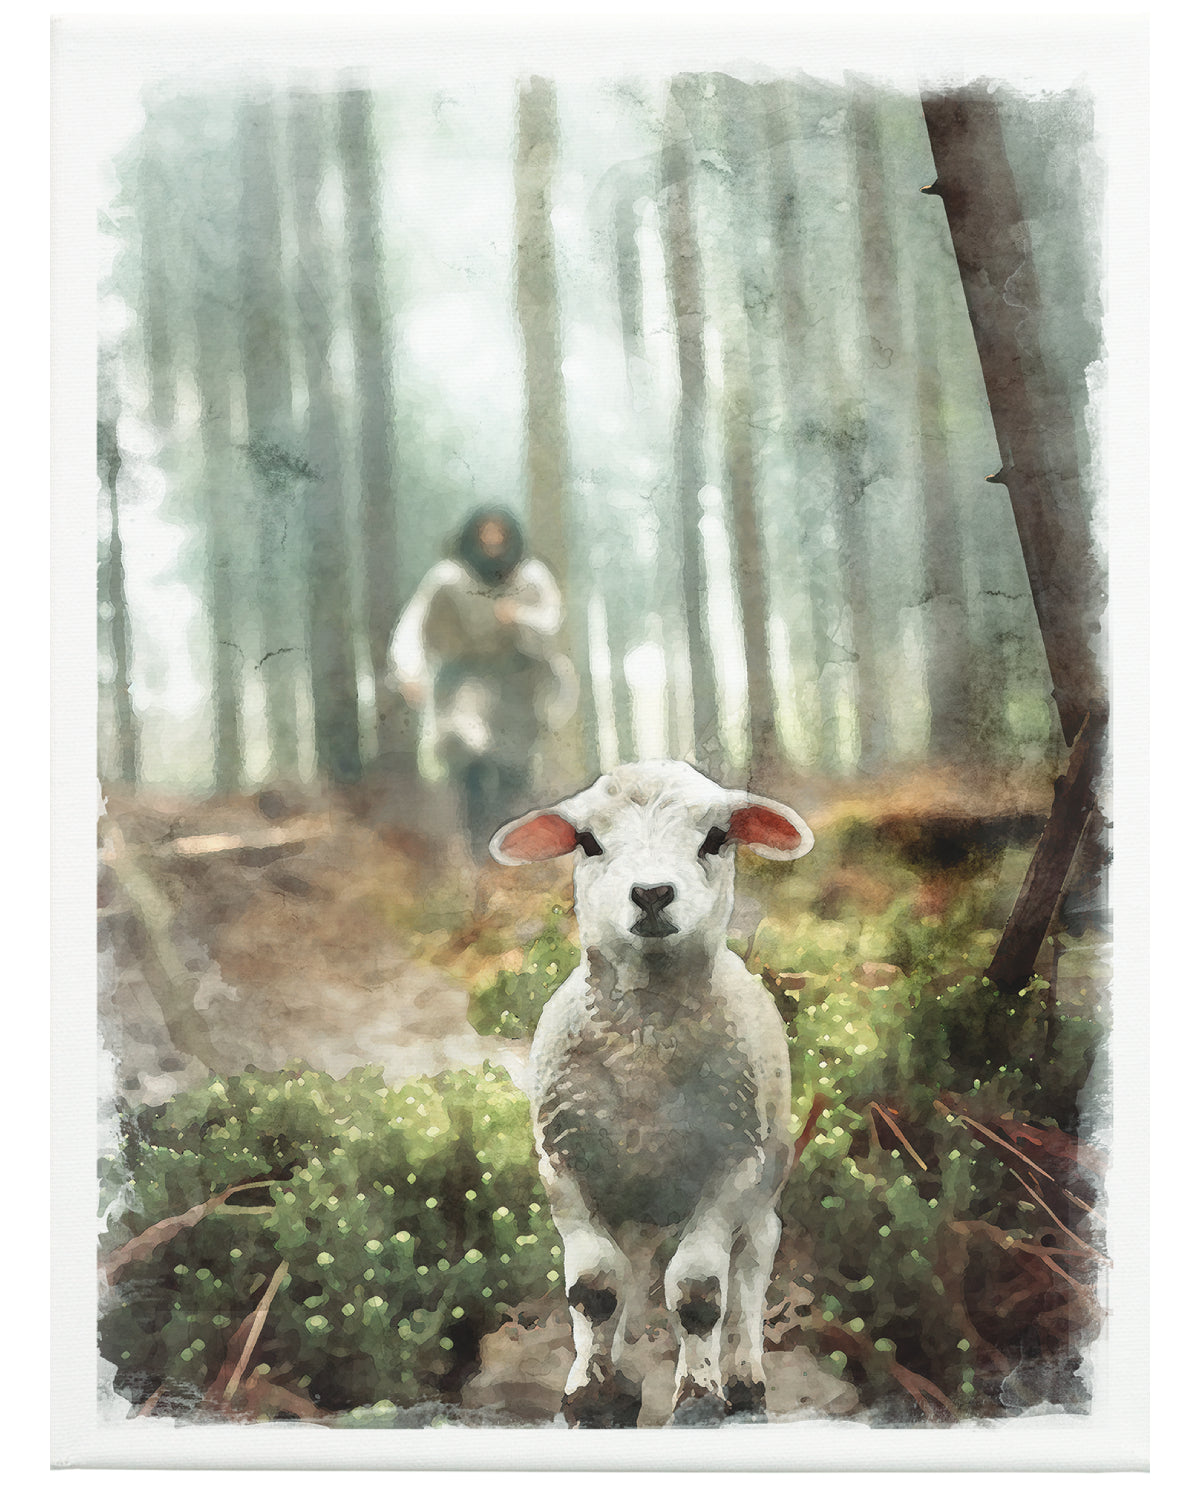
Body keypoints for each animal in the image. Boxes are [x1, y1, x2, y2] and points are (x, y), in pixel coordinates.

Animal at [489, 760, 814, 1427]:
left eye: (715, 838)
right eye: (588, 842)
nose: (652, 894)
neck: (643, 1054)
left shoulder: (731, 1165)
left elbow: (698, 1291)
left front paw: (698, 1396)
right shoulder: (563, 1163)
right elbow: (594, 1286)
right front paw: (591, 1393)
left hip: (767, 1170)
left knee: (752, 1266)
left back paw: (744, 1378)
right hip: (633, 1194)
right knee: (632, 1271)